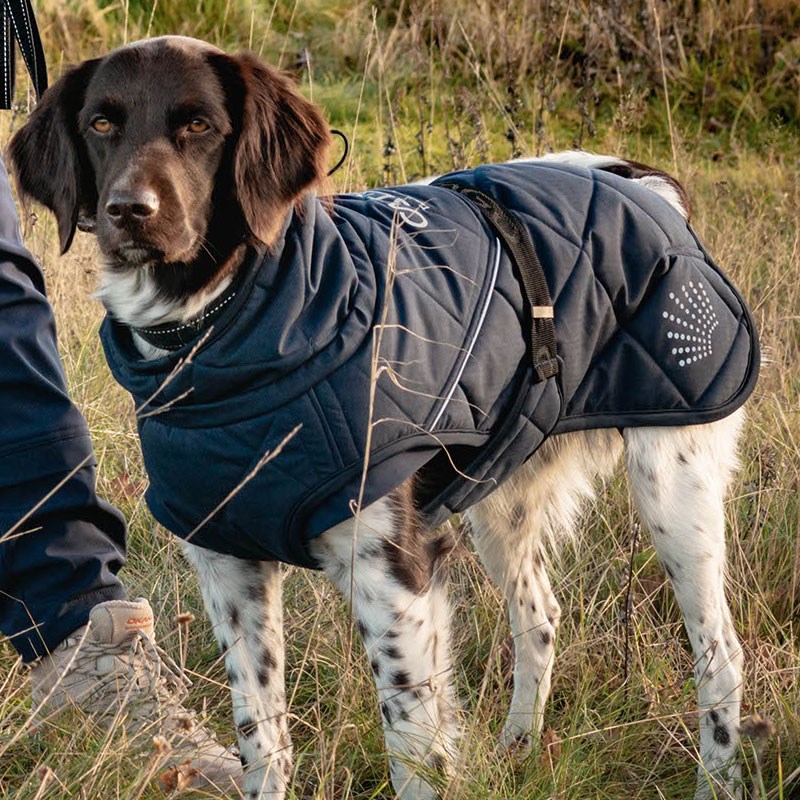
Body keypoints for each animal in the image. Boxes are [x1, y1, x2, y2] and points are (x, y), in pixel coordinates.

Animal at [9, 36, 748, 800]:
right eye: (101, 124)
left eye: (200, 126)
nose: (131, 209)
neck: (228, 328)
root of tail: (639, 181)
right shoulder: (229, 571)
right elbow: (262, 742)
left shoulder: (390, 571)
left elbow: (413, 750)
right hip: (504, 497)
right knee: (540, 617)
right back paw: (519, 747)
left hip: (673, 484)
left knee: (719, 651)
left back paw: (717, 779)